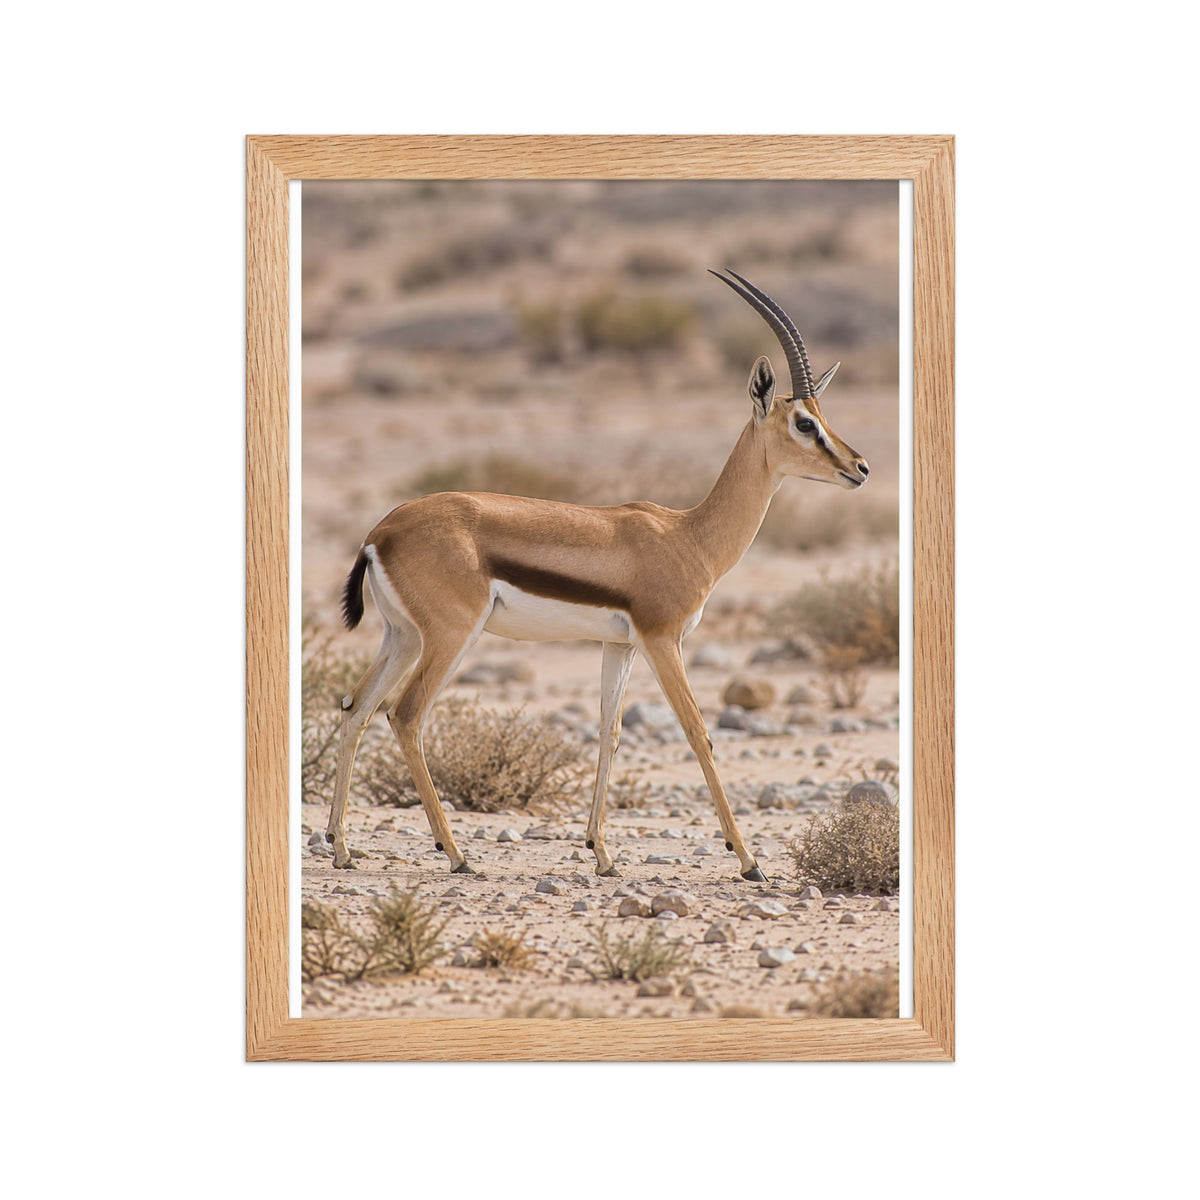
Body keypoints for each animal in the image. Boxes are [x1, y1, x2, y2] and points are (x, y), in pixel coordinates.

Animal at [326, 269, 869, 881]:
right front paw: (749, 860)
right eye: (804, 422)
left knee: (356, 707)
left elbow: (609, 731)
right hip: (448, 637)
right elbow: (697, 732)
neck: (689, 535)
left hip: (402, 636)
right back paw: (457, 854)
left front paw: (603, 854)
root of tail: (381, 531)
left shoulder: (621, 645)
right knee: (405, 714)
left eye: (824, 418)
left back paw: (342, 847)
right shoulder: (663, 640)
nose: (860, 467)